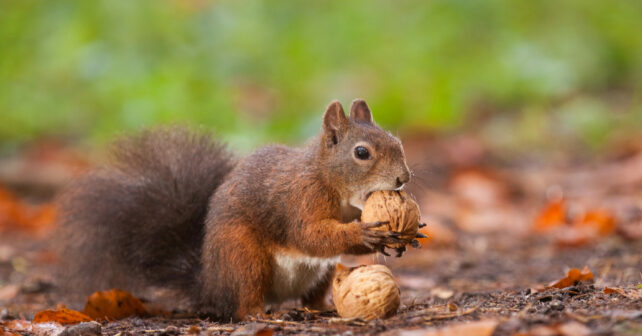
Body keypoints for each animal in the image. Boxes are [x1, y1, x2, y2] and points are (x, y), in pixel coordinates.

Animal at [56, 99, 416, 320]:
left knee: (311, 295)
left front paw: (402, 238)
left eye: (397, 142)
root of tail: (210, 284)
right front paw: (365, 233)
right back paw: (261, 314)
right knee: (244, 301)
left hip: (321, 273)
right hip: (243, 256)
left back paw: (321, 306)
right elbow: (309, 235)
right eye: (361, 153)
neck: (330, 181)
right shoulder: (301, 198)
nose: (403, 178)